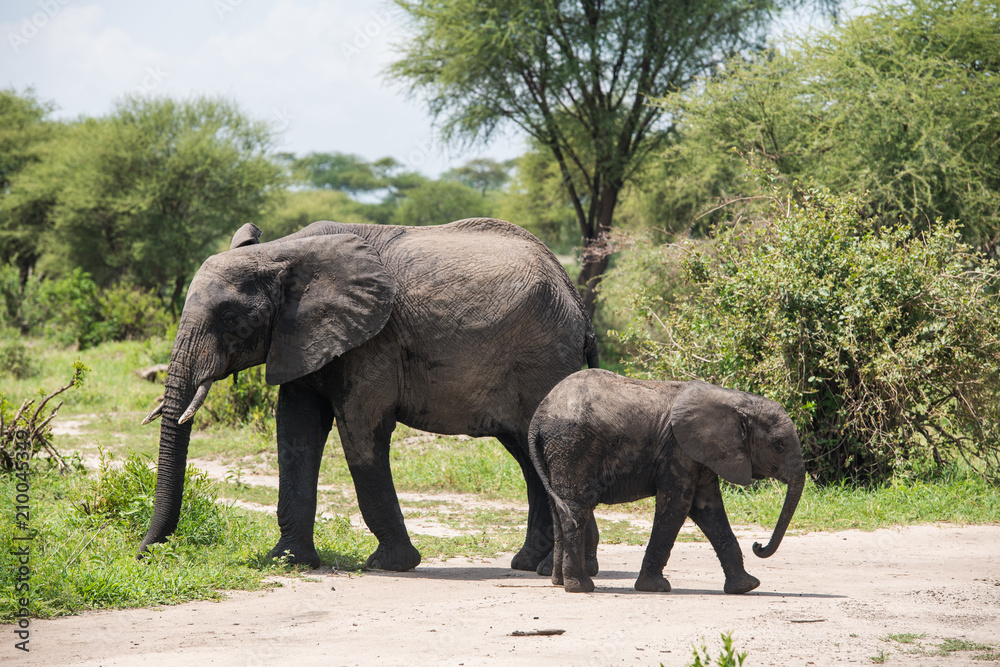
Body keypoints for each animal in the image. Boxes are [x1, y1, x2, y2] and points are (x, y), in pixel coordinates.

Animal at [139, 217, 599, 572]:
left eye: (231, 318)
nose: (146, 553)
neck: (282, 252)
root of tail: (577, 300)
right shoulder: (299, 338)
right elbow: (295, 434)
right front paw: (287, 561)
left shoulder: (372, 342)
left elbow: (359, 432)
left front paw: (389, 565)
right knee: (528, 456)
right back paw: (536, 565)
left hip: (544, 356)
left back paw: (561, 569)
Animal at [528, 369, 806, 594]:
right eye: (778, 445)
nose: (758, 545)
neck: (733, 400)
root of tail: (537, 419)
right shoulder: (678, 451)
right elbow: (677, 506)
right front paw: (655, 587)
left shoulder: (701, 454)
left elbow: (709, 509)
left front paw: (747, 586)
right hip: (573, 445)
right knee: (576, 508)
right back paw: (581, 587)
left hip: (557, 451)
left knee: (559, 509)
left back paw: (559, 582)